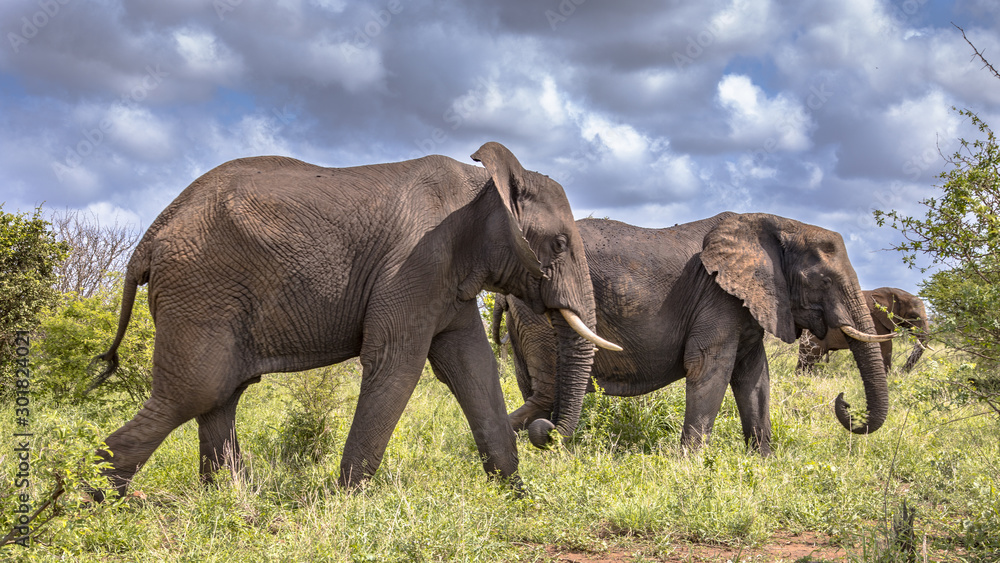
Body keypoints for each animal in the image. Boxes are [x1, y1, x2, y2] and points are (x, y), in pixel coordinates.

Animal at [90, 142, 621, 499]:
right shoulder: (417, 262)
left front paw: (517, 496)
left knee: (219, 397)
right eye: (559, 245)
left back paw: (229, 502)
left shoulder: (446, 277)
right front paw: (348, 502)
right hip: (200, 289)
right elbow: (397, 364)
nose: (545, 433)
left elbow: (471, 366)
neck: (483, 186)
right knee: (196, 392)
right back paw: (93, 504)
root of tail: (150, 236)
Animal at [493, 212, 893, 455]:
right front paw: (690, 464)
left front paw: (763, 461)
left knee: (537, 391)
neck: (777, 224)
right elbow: (708, 366)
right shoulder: (717, 296)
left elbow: (755, 377)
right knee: (546, 392)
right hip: (539, 315)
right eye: (824, 282)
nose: (844, 402)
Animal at [797, 287, 929, 373]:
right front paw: (888, 376)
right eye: (913, 317)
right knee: (809, 359)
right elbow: (886, 345)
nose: (900, 373)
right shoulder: (874, 319)